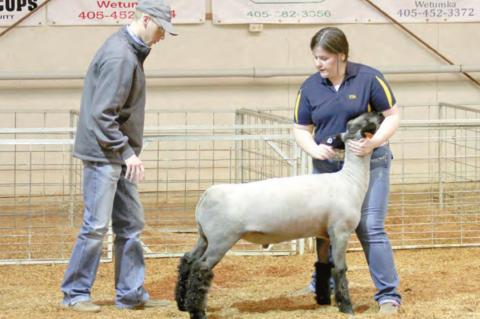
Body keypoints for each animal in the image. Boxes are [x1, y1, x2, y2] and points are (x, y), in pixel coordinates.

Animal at [174, 111, 384, 318]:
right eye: (365, 120)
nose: (381, 113)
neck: (349, 180)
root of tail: (206, 196)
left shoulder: (323, 233)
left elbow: (323, 265)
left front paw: (324, 301)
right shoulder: (341, 231)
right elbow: (340, 269)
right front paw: (347, 308)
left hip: (205, 237)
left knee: (188, 259)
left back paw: (182, 303)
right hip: (222, 239)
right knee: (201, 267)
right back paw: (197, 312)